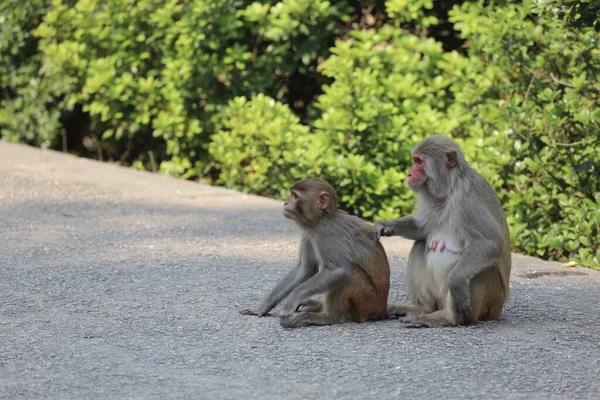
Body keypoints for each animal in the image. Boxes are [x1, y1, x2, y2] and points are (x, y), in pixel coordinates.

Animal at [376, 135, 510, 328]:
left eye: (419, 162)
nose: (409, 173)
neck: (448, 189)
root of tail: (497, 311)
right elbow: (421, 230)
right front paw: (386, 226)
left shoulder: (467, 199)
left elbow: (490, 242)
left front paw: (457, 283)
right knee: (419, 244)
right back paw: (421, 308)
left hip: (489, 301)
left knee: (482, 267)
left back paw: (446, 318)